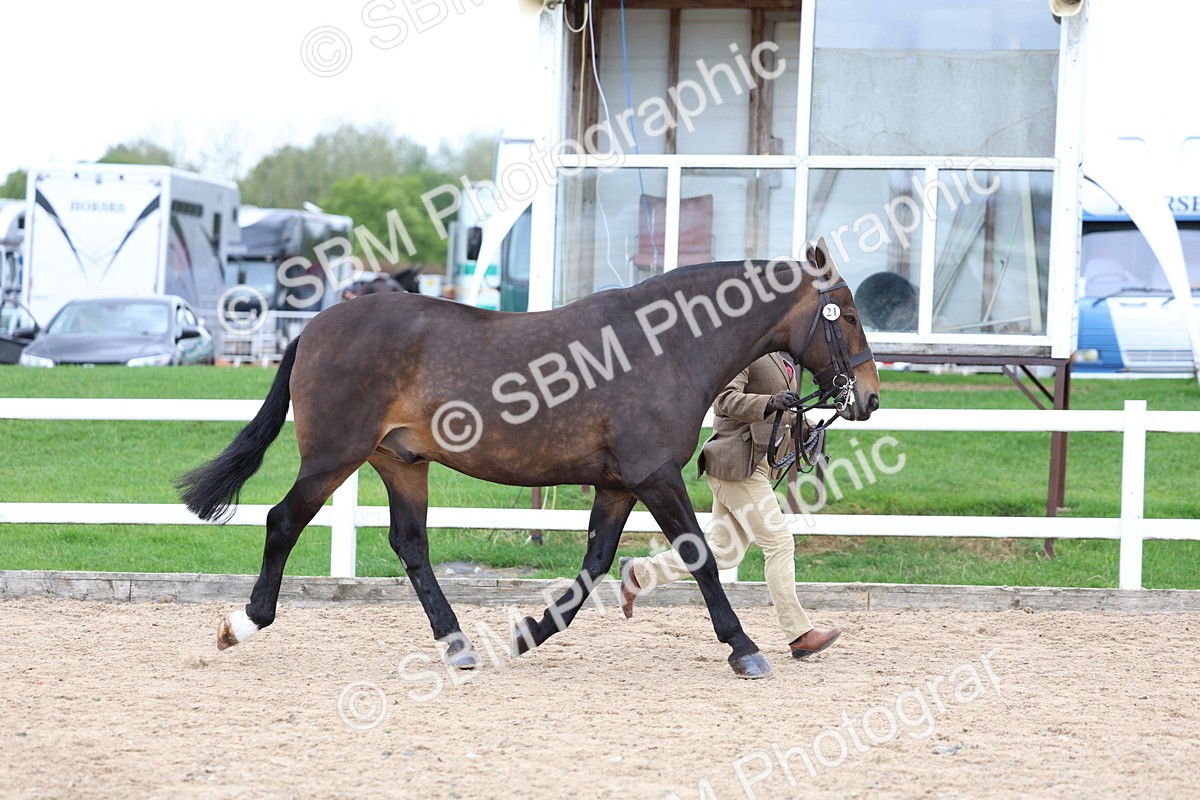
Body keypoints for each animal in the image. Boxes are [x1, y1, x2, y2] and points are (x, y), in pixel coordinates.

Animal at [175, 238, 880, 679]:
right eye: (845, 315)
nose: (869, 396)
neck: (666, 345)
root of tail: (316, 325)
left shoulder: (619, 485)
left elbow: (595, 565)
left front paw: (528, 633)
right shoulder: (655, 477)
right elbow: (700, 557)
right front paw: (745, 649)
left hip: (400, 462)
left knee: (411, 545)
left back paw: (458, 645)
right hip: (332, 458)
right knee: (282, 523)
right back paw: (241, 623)